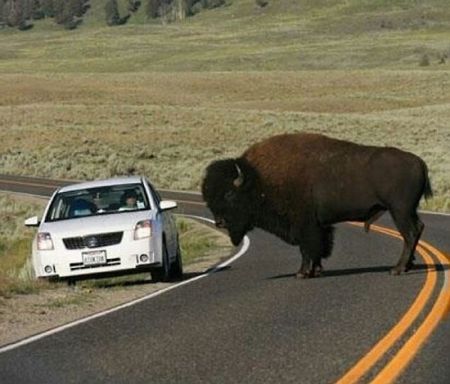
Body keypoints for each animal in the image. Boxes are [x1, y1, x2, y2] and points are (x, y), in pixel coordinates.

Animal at [201, 134, 432, 278]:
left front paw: (302, 273)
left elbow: (308, 249)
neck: (258, 179)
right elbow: (319, 247)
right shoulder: (319, 225)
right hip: (407, 210)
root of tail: (419, 162)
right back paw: (407, 266)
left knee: (410, 233)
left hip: (399, 210)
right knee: (417, 229)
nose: (219, 222)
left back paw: (397, 269)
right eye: (209, 197)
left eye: (229, 194)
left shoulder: (304, 225)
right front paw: (317, 271)